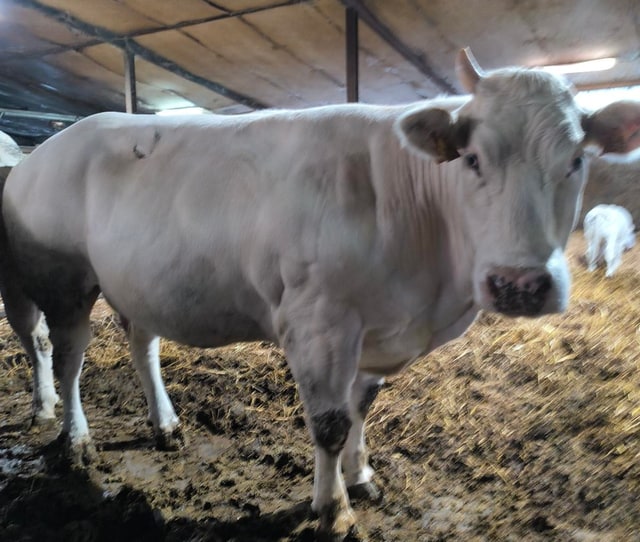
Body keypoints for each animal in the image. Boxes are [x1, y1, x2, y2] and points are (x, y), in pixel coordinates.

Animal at [2, 48, 640, 540]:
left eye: (577, 160)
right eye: (473, 159)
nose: (521, 285)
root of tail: (47, 148)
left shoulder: (373, 331)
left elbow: (361, 408)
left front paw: (361, 477)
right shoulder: (318, 324)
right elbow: (330, 423)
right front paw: (333, 511)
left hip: (136, 281)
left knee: (142, 344)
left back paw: (165, 424)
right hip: (64, 281)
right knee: (67, 358)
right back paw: (74, 437)